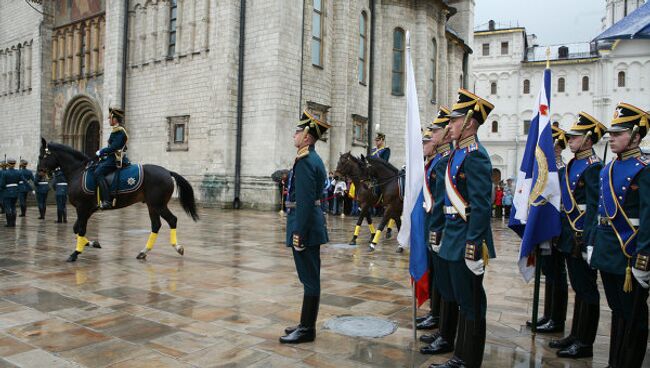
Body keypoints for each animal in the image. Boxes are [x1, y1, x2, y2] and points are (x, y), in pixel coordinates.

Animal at [38, 138, 197, 262]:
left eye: (41, 156)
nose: (39, 172)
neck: (78, 171)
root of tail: (167, 172)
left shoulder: (82, 207)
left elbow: (81, 229)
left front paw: (75, 253)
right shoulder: (88, 209)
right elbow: (76, 229)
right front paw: (93, 243)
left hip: (158, 205)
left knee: (172, 220)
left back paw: (177, 247)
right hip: (152, 205)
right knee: (156, 225)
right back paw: (143, 252)